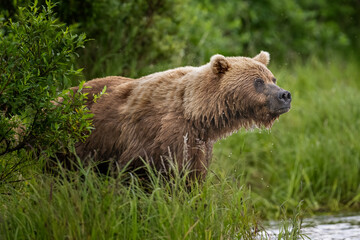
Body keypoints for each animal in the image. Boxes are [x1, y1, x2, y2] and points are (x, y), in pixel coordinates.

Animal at [71, 51, 292, 180]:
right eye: (258, 82)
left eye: (272, 78)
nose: (285, 95)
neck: (195, 113)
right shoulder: (152, 136)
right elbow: (135, 173)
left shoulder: (196, 144)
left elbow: (191, 178)